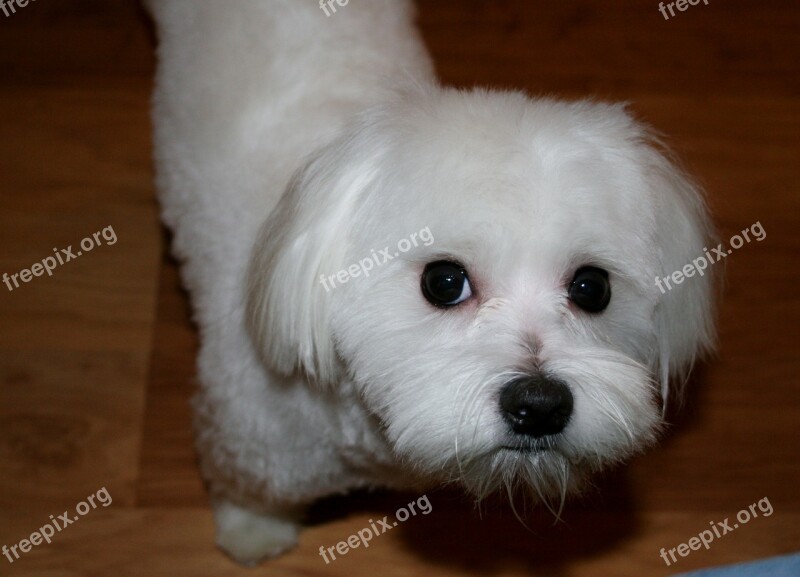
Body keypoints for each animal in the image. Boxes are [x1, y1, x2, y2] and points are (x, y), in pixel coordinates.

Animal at [147, 0, 716, 568]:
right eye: (443, 282)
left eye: (592, 288)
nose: (540, 405)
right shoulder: (253, 438)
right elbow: (247, 488)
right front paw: (253, 530)